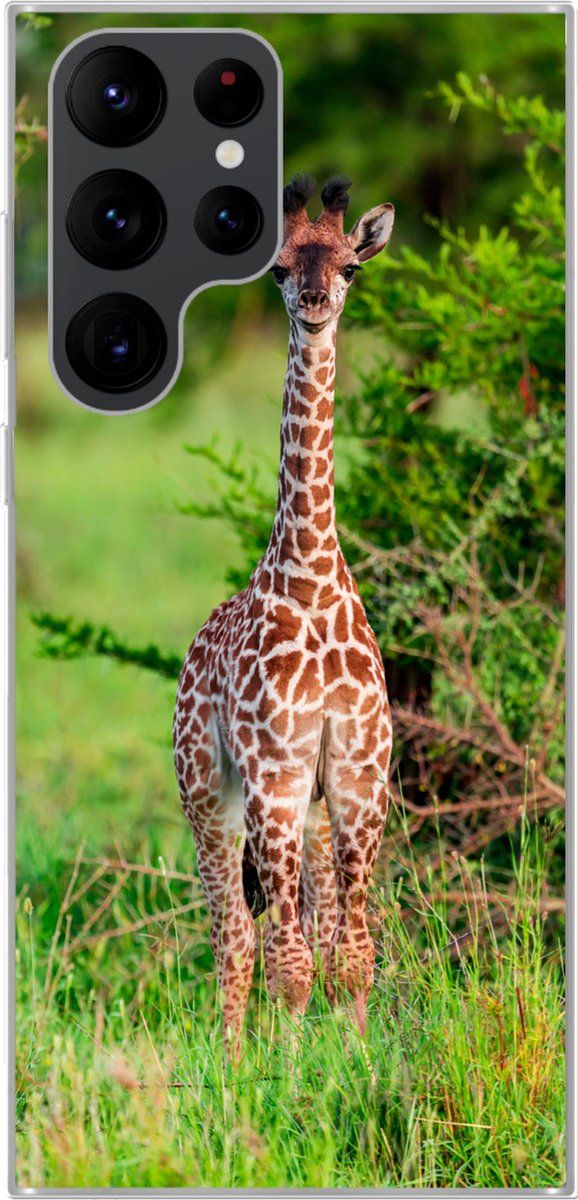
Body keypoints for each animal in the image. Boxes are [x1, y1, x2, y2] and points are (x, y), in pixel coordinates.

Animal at [173, 175, 395, 1057]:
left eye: (350, 265)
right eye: (276, 268)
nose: (315, 300)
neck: (310, 577)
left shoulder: (359, 775)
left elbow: (350, 954)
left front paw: (361, 1064)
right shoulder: (273, 774)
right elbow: (291, 966)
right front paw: (294, 1075)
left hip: (309, 805)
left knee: (312, 924)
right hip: (208, 792)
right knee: (235, 936)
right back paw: (233, 1066)